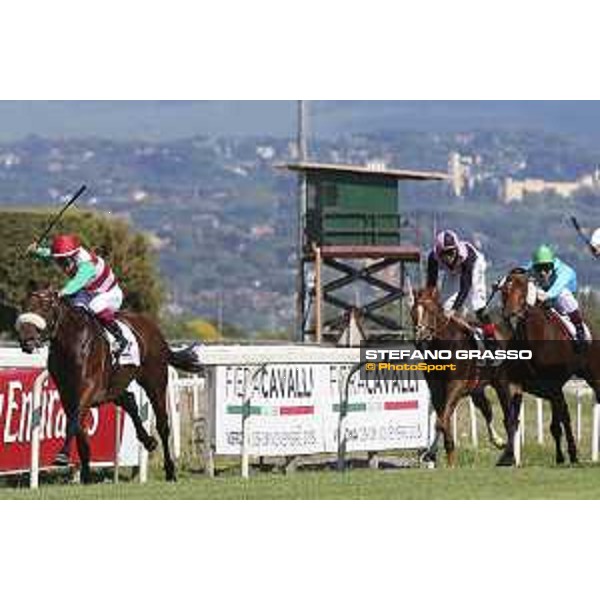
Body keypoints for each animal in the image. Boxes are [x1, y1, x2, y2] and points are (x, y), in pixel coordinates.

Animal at [15, 288, 204, 486]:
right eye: (25, 306)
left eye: (45, 307)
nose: (26, 339)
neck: (71, 343)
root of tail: (155, 331)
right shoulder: (67, 393)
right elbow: (79, 428)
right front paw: (85, 475)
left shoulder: (88, 388)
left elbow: (73, 422)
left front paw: (62, 456)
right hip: (114, 385)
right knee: (129, 401)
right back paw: (148, 441)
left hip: (155, 381)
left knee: (162, 424)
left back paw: (170, 471)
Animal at [496, 268, 600, 468]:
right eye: (504, 290)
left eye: (523, 289)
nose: (510, 314)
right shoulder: (518, 384)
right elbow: (512, 419)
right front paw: (507, 456)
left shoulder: (554, 386)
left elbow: (560, 421)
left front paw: (569, 455)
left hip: (593, 376)